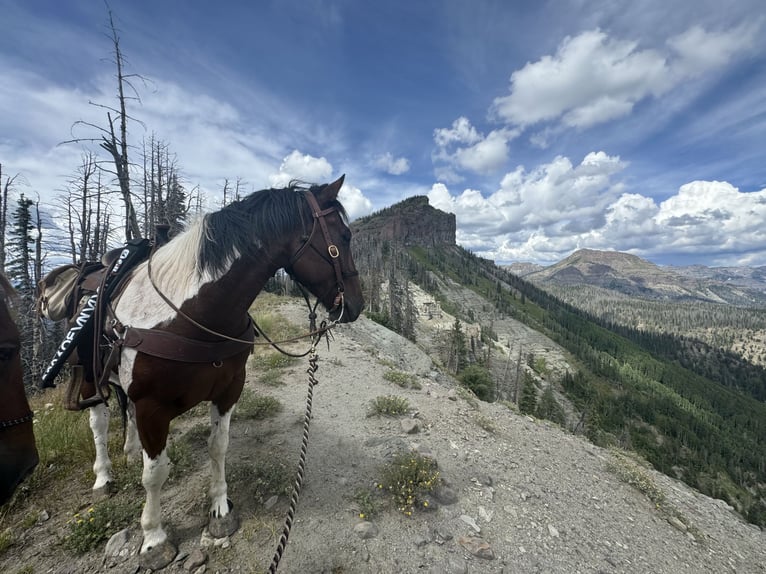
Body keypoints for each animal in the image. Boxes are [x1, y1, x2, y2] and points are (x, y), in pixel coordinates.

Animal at [76, 177, 364, 572]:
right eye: (345, 236)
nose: (358, 304)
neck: (192, 316)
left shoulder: (228, 391)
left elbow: (218, 447)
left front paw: (219, 510)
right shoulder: (153, 408)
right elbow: (155, 474)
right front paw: (153, 539)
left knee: (126, 414)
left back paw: (132, 450)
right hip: (90, 376)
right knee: (98, 423)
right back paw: (103, 477)